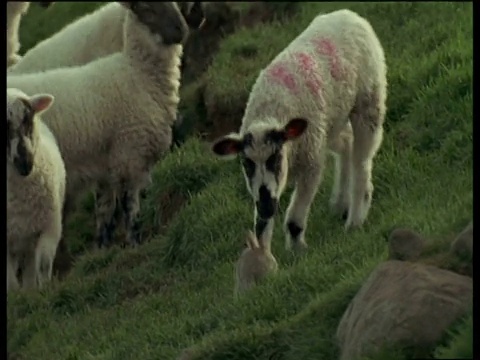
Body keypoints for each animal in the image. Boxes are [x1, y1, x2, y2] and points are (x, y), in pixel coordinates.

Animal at [6, 88, 65, 292]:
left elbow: (43, 265)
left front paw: (43, 293)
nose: (25, 163)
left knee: (30, 267)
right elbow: (11, 284)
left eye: (27, 118)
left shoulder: (49, 227)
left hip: (28, 239)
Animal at [210, 7, 386, 252]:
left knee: (361, 159)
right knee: (346, 144)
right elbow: (260, 227)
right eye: (246, 163)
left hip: (368, 99)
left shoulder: (310, 163)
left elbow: (294, 217)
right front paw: (264, 257)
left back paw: (355, 218)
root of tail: (347, 14)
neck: (268, 113)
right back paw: (340, 204)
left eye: (275, 158)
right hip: (328, 123)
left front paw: (297, 249)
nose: (266, 207)